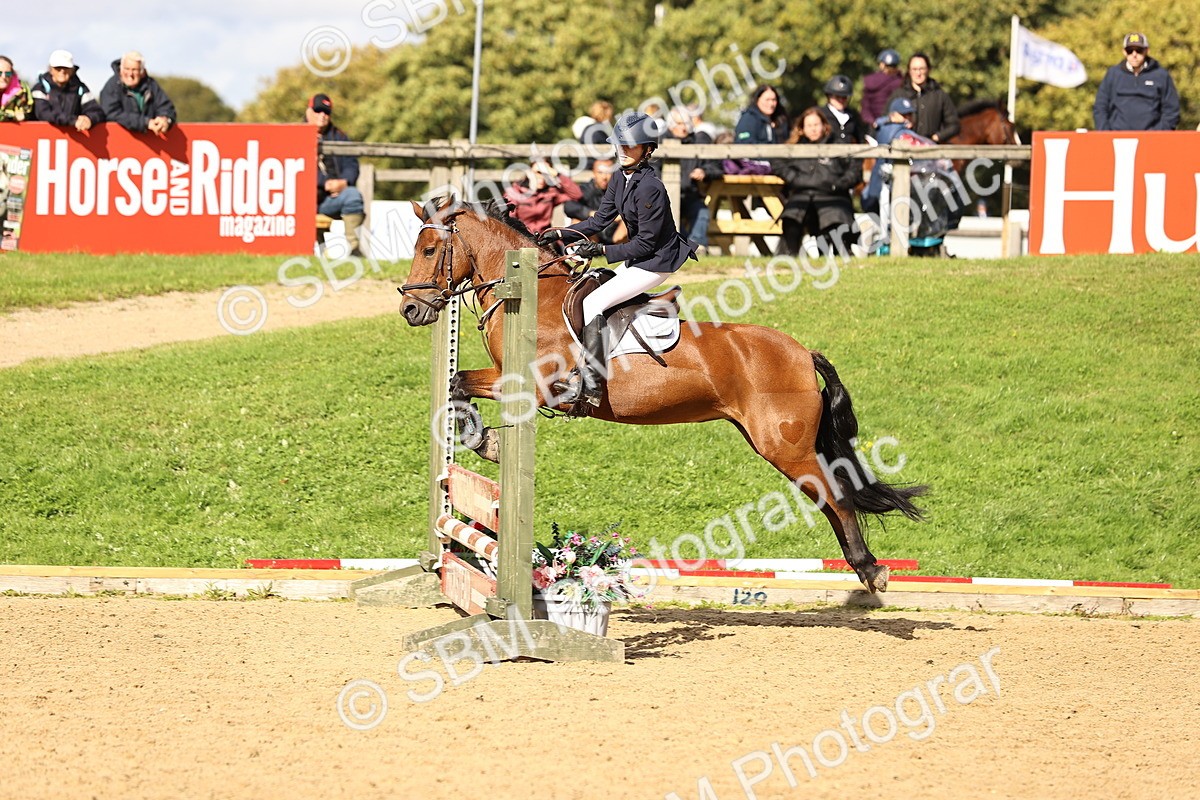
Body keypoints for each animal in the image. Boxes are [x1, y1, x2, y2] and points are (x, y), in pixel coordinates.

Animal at [399, 198, 927, 593]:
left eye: (430, 249)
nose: (410, 310)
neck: (532, 295)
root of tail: (802, 353)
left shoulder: (535, 387)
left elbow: (462, 385)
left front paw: (484, 441)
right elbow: (457, 383)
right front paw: (482, 438)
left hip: (784, 445)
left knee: (835, 495)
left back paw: (870, 569)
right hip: (780, 444)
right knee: (828, 497)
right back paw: (862, 569)